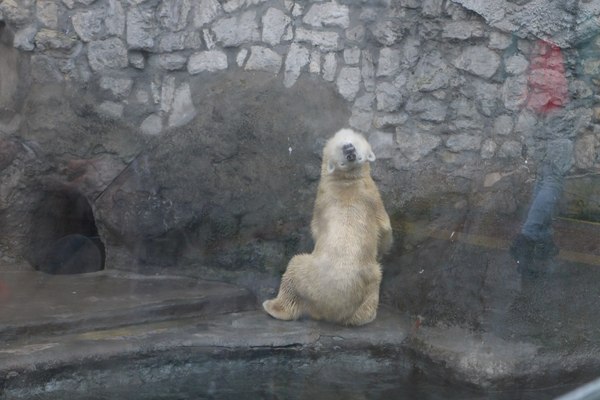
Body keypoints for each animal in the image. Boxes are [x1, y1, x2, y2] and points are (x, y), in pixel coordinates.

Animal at [262, 128, 394, 324]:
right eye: (346, 161)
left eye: (360, 157)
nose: (350, 152)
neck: (346, 181)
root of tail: (329, 308)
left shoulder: (361, 198)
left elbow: (385, 229)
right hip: (368, 283)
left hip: (306, 273)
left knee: (292, 269)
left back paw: (272, 306)